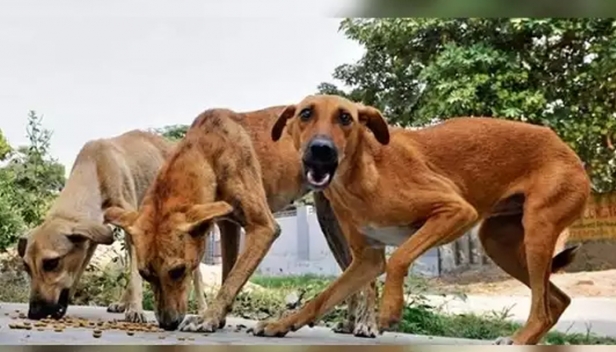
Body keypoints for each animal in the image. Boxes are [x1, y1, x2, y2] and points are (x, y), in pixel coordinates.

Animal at [16, 131, 174, 324]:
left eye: (52, 263)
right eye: (26, 266)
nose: (34, 313)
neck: (96, 165)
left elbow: (136, 274)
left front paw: (136, 309)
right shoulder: (92, 236)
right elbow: (79, 269)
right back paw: (122, 303)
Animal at [251, 94, 592, 346]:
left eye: (345, 117)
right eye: (305, 114)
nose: (320, 150)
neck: (361, 176)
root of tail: (564, 146)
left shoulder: (455, 211)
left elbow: (399, 257)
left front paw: (389, 311)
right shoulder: (366, 261)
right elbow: (322, 298)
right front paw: (281, 324)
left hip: (537, 231)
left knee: (543, 307)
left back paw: (520, 338)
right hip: (498, 243)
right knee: (557, 300)